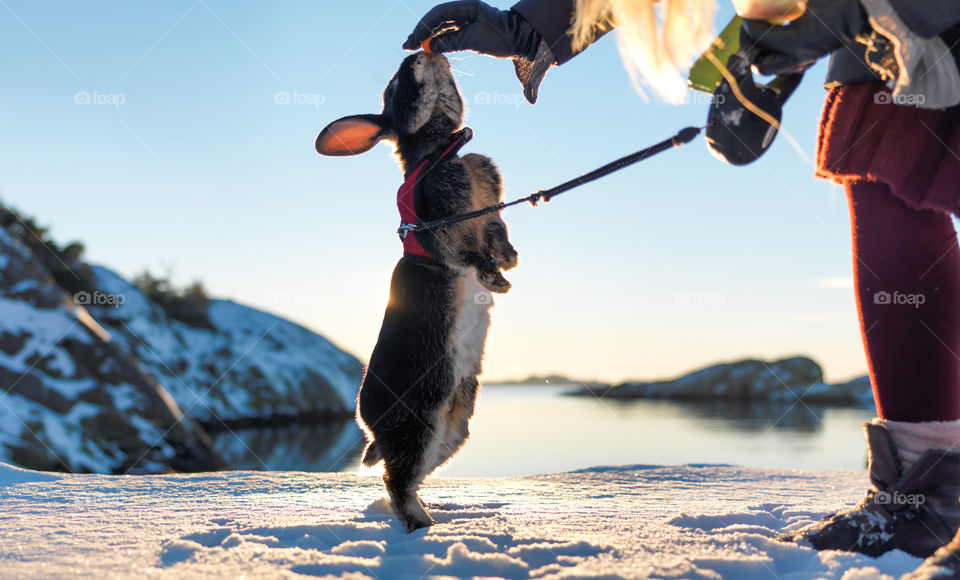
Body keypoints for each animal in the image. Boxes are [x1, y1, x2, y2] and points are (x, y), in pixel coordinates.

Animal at [315, 51, 518, 532]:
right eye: (393, 87)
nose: (421, 54)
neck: (439, 152)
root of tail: (370, 427)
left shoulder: (491, 211)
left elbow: (497, 233)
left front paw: (508, 265)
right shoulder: (439, 225)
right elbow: (468, 253)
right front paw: (494, 278)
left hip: (451, 428)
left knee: (406, 475)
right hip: (419, 423)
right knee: (397, 479)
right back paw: (422, 523)